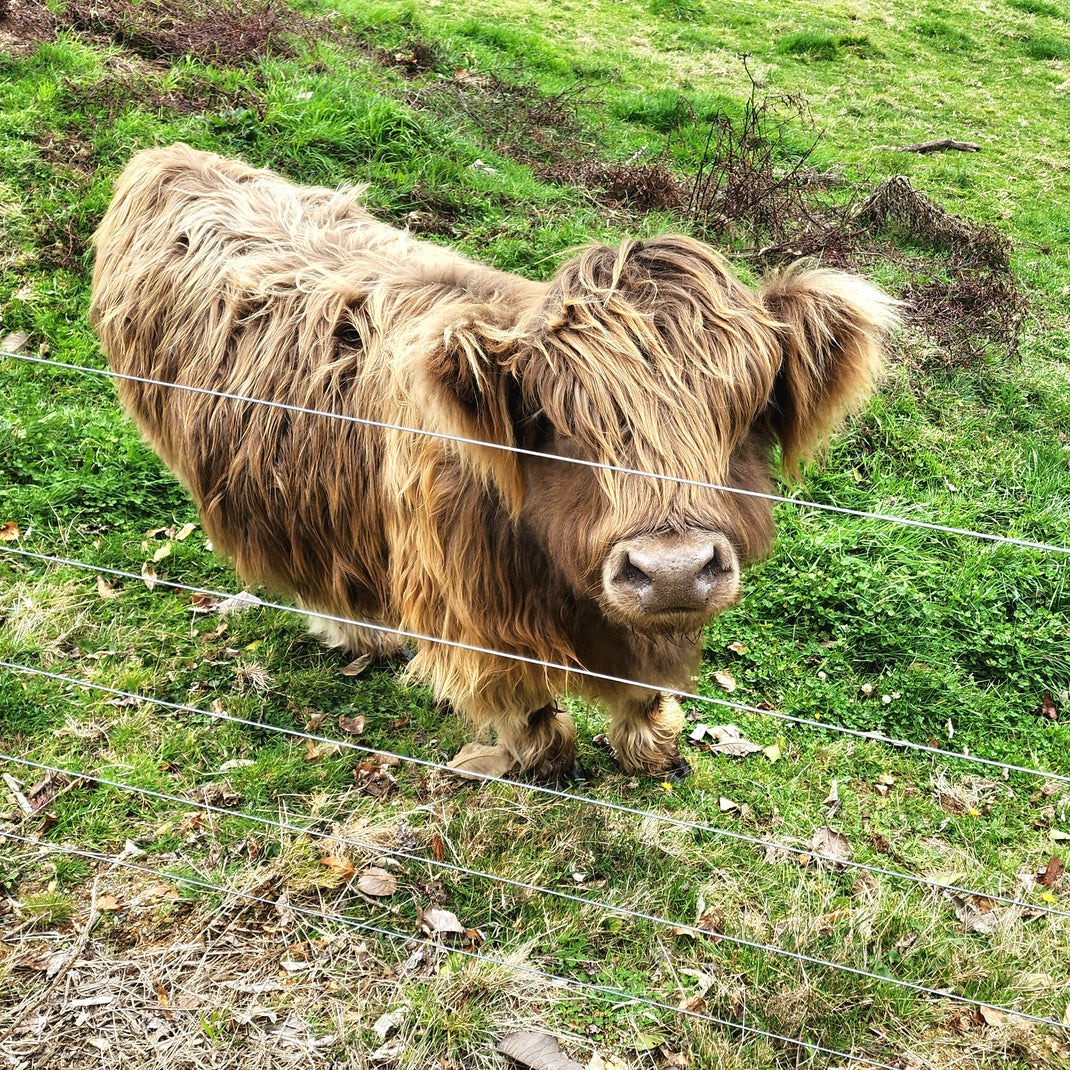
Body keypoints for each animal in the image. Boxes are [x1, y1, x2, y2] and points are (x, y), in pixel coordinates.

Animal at [89, 143, 897, 782]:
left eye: (744, 412)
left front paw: (652, 744)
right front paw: (544, 759)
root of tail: (166, 157)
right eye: (561, 426)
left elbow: (644, 688)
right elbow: (523, 699)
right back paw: (363, 635)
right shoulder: (473, 611)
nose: (671, 571)